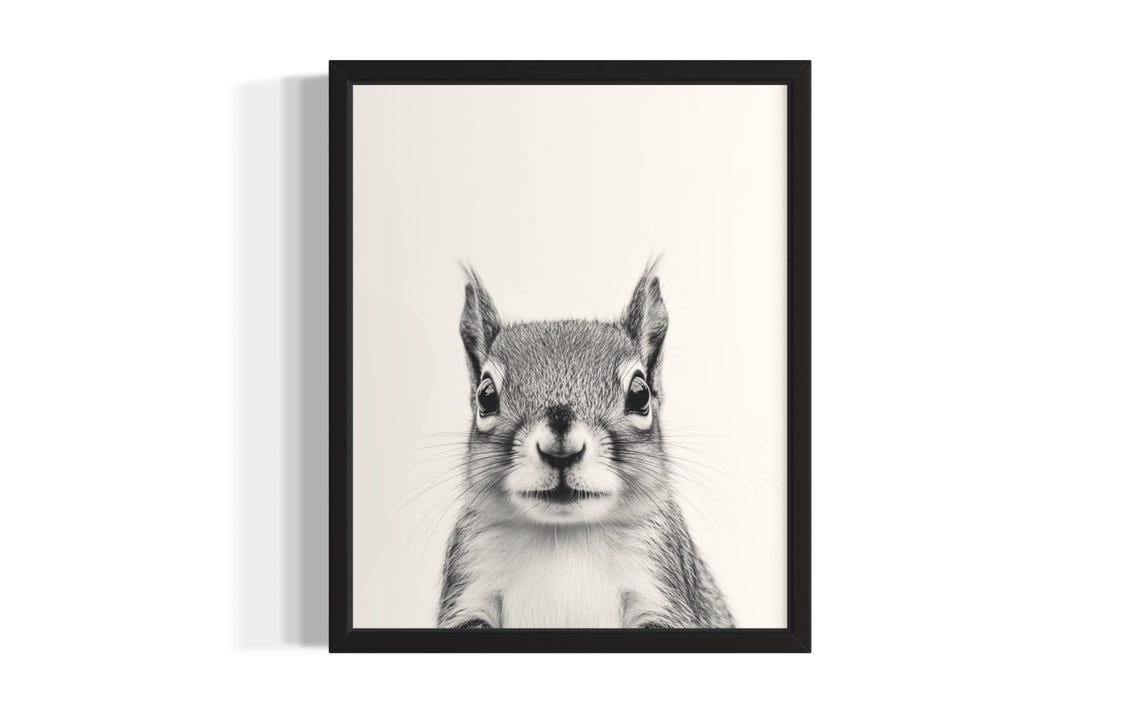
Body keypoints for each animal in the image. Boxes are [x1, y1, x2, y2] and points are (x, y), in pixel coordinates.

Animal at [437, 264, 734, 629]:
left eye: (640, 394)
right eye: (486, 396)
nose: (561, 451)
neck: (564, 535)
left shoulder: (663, 581)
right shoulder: (469, 580)